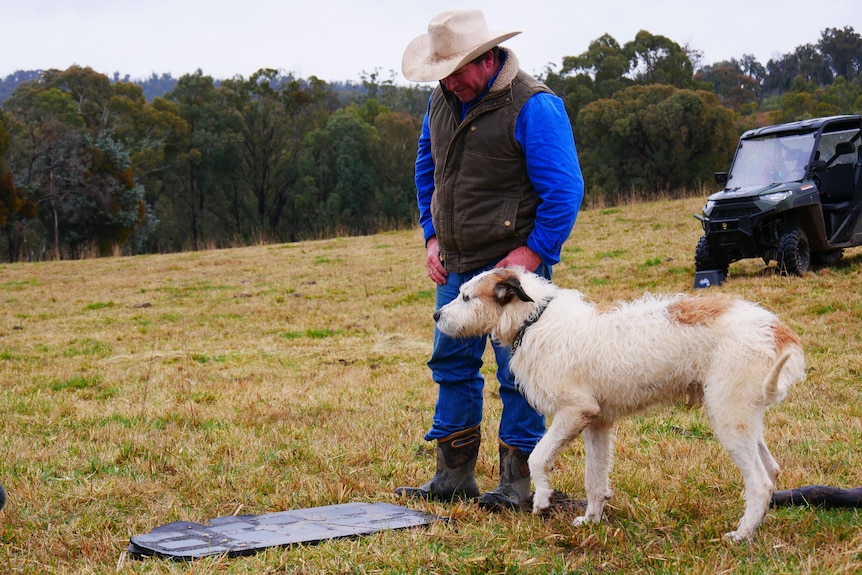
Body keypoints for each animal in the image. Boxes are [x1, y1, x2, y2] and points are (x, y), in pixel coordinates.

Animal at [438, 268, 808, 544]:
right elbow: (594, 478)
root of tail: (777, 330)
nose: (436, 314)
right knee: (771, 470)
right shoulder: (597, 422)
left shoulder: (575, 411)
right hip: (743, 416)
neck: (534, 319)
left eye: (466, 297)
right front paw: (592, 520)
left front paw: (542, 499)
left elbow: (537, 456)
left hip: (729, 419)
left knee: (760, 483)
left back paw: (742, 535)